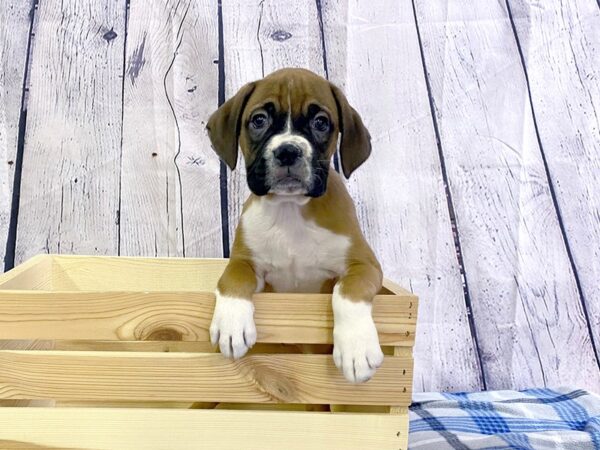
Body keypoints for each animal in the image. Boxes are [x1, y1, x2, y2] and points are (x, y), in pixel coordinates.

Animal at [206, 67, 384, 384]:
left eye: (321, 122)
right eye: (259, 120)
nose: (288, 151)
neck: (290, 209)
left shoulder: (365, 266)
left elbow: (348, 292)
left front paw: (356, 347)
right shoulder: (246, 263)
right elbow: (232, 278)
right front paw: (231, 323)